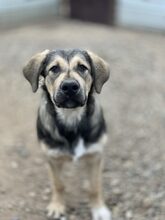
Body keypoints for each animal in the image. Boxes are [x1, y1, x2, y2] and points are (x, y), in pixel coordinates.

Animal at [22, 49, 111, 219]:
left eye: (82, 67)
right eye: (54, 69)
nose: (70, 86)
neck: (71, 118)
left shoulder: (95, 155)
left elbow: (95, 186)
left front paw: (98, 209)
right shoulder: (52, 158)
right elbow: (58, 184)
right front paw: (57, 206)